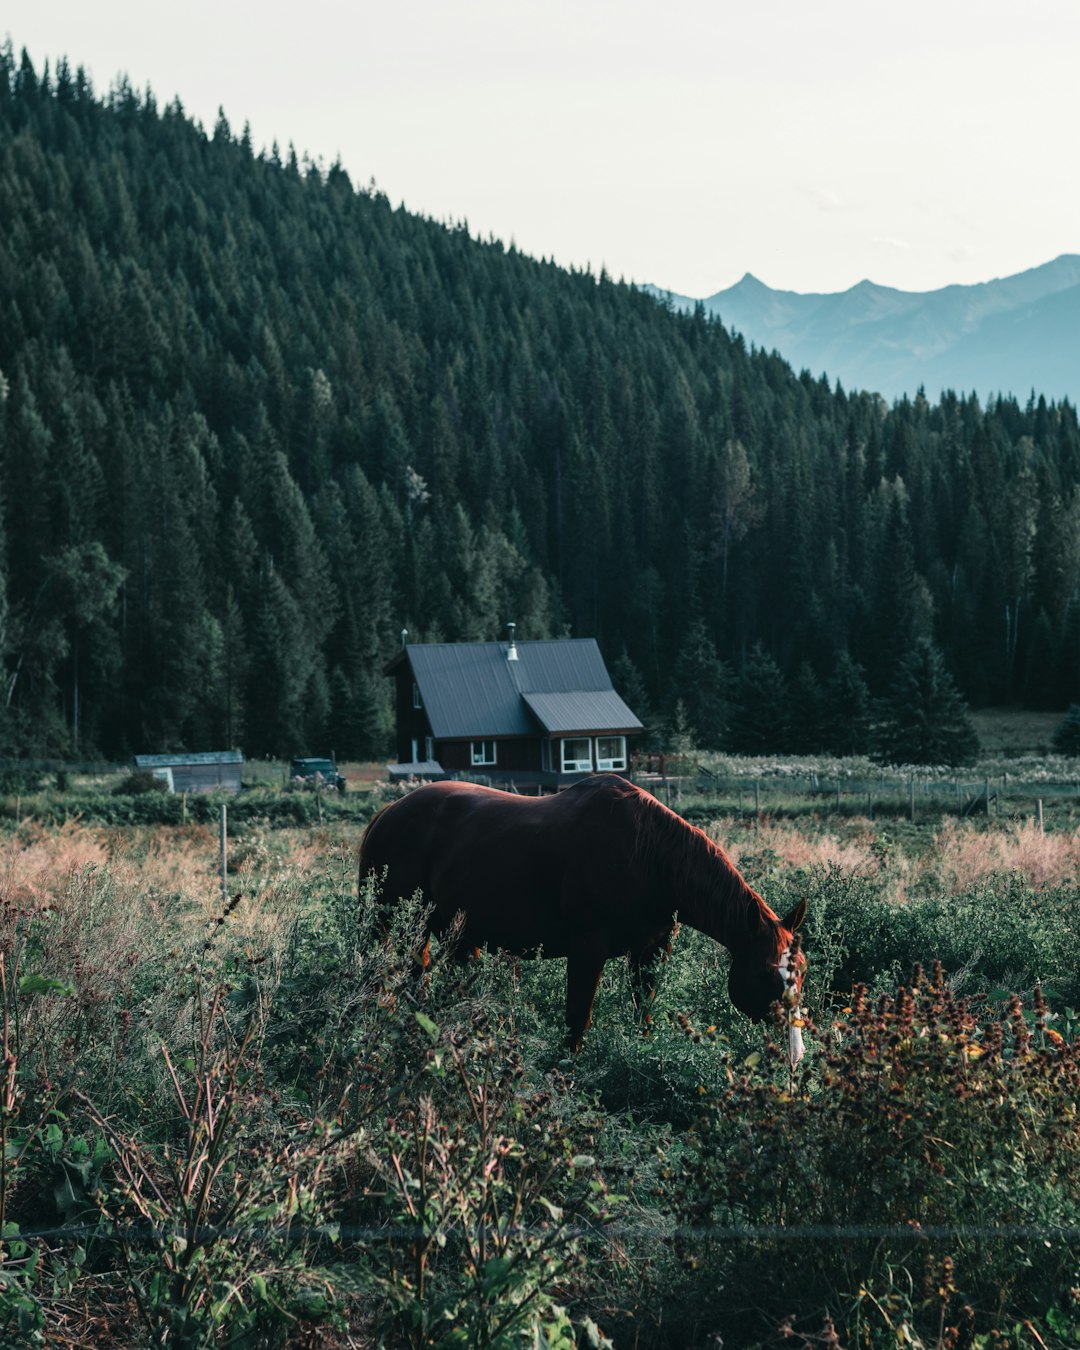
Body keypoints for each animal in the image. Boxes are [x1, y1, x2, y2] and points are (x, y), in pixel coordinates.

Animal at [359, 772, 804, 1053]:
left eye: (801, 970)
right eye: (767, 974)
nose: (795, 1054)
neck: (648, 856)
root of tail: (388, 813)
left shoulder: (651, 951)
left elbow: (643, 1010)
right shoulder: (588, 948)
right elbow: (578, 1018)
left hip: (457, 937)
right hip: (392, 925)